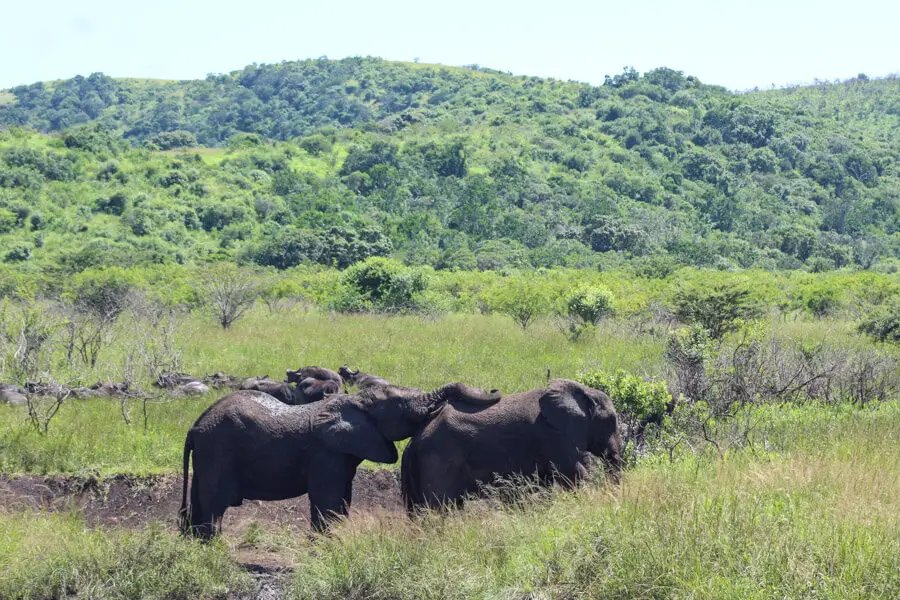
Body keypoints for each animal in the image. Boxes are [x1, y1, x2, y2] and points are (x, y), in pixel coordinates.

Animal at [176, 382, 500, 536]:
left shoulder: (345, 455)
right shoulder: (326, 454)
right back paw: (212, 548)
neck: (353, 400)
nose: (495, 390)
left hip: (208, 455)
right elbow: (328, 500)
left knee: (200, 501)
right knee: (214, 503)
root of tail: (194, 427)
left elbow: (343, 499)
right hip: (218, 450)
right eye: (400, 405)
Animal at [402, 380, 624, 510]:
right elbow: (575, 473)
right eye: (611, 421)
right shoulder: (554, 436)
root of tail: (413, 443)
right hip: (439, 459)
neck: (582, 392)